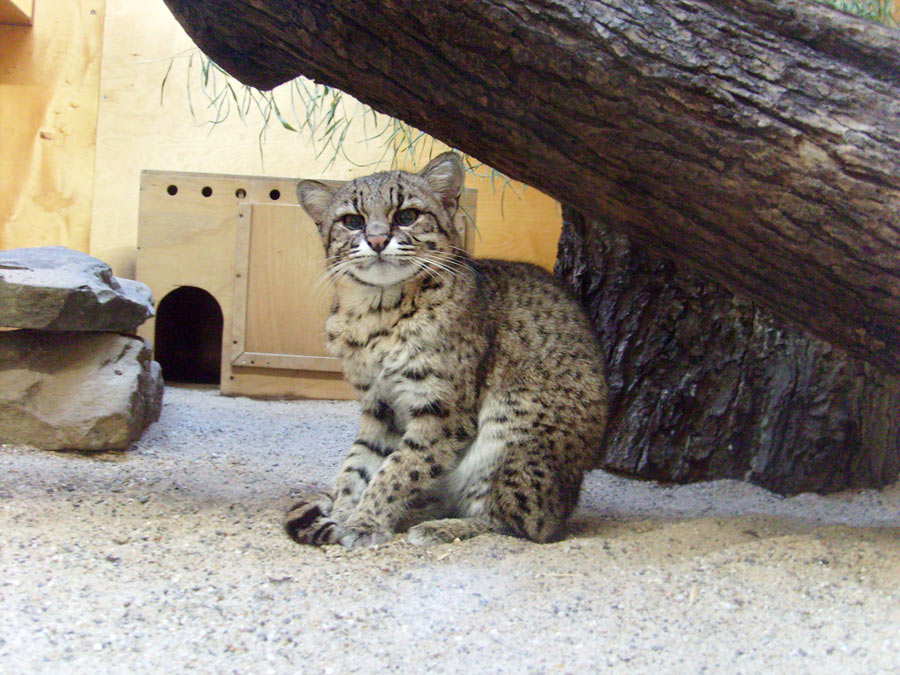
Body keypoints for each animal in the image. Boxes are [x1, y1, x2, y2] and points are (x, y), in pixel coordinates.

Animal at [286, 153, 612, 548]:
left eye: (407, 215)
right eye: (352, 221)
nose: (377, 240)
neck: (376, 314)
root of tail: (569, 502)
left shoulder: (444, 411)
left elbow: (399, 467)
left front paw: (365, 521)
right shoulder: (377, 406)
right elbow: (357, 465)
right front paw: (345, 512)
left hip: (512, 426)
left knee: (526, 525)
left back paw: (443, 527)